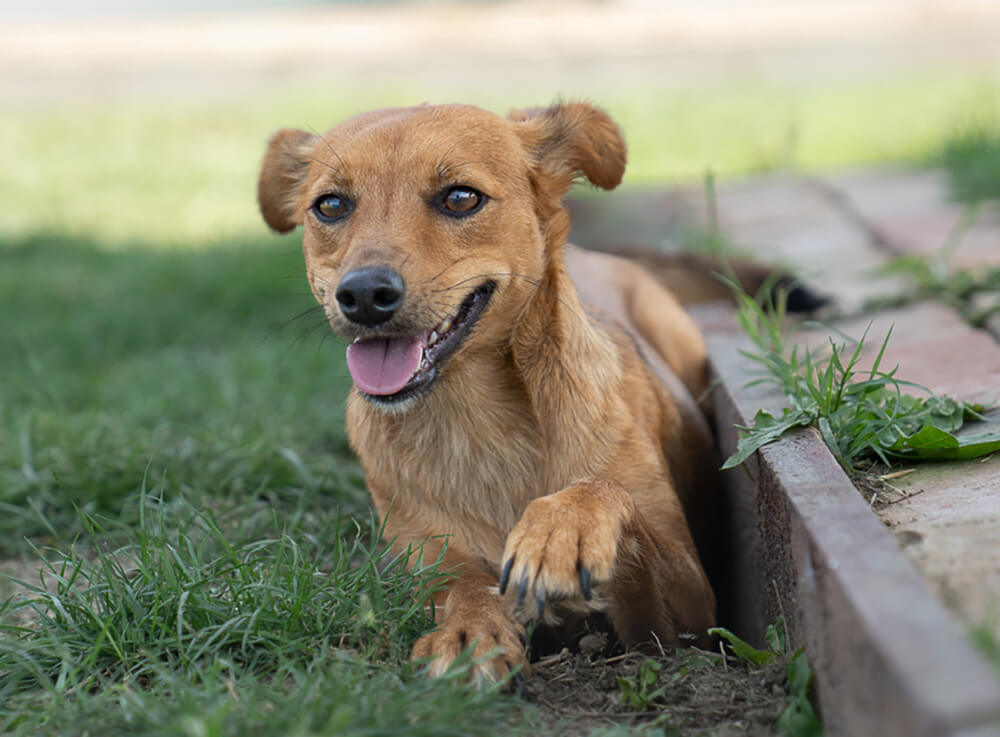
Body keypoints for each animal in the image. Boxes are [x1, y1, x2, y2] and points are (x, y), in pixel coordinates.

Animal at [257, 102, 726, 685]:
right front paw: (469, 633)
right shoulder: (429, 558)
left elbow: (608, 494)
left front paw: (561, 528)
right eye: (331, 205)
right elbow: (465, 589)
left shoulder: (693, 612)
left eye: (461, 197)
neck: (479, 422)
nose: (363, 294)